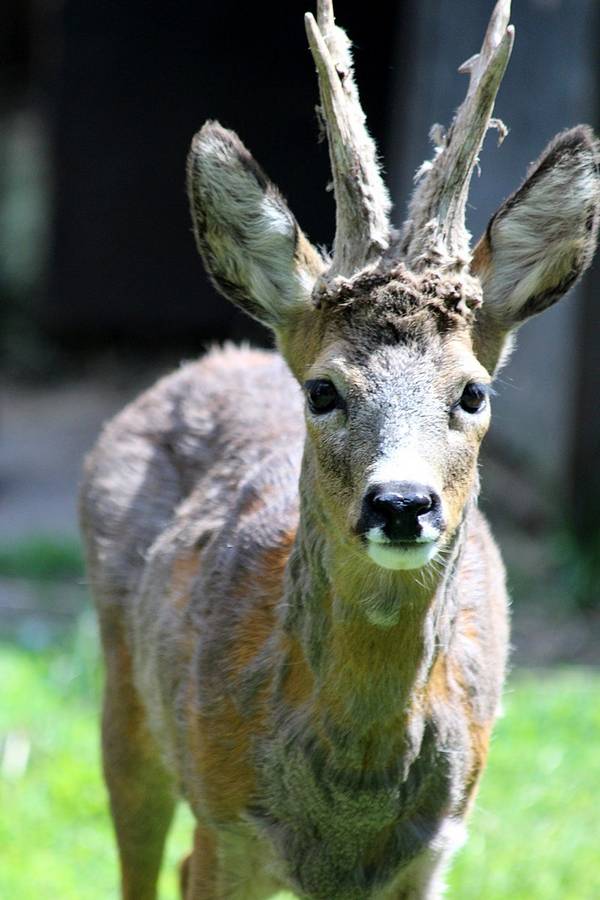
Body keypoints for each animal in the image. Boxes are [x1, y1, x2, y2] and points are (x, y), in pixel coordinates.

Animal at [79, 1, 600, 900]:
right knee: (144, 860)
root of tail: (216, 356)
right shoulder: (230, 825)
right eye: (323, 391)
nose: (401, 503)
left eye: (473, 392)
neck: (352, 790)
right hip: (127, 696)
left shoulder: (434, 852)